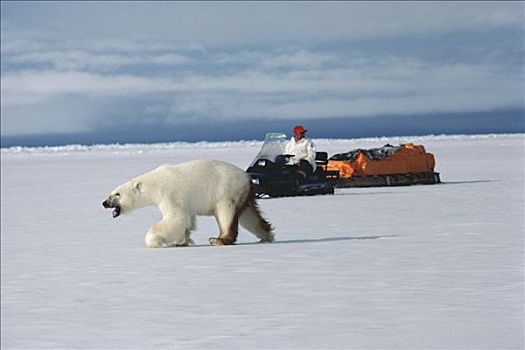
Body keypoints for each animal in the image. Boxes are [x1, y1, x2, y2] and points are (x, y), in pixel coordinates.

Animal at [102, 160, 274, 247]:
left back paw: (218, 239)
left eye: (117, 194)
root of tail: (247, 178)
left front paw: (154, 240)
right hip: (241, 194)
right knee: (249, 216)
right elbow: (187, 220)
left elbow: (175, 218)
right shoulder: (185, 202)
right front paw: (181, 241)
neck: (155, 184)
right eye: (112, 192)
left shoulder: (170, 195)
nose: (104, 203)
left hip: (225, 191)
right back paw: (266, 235)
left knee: (225, 214)